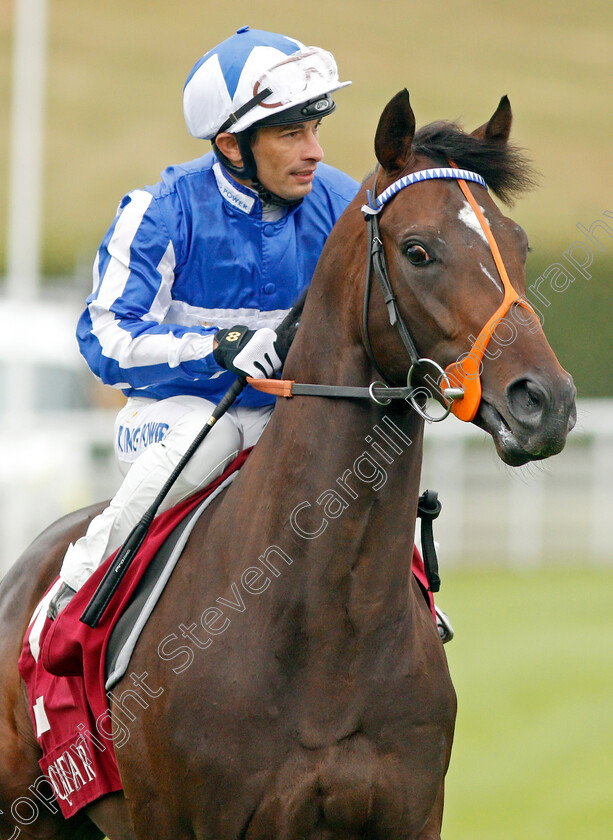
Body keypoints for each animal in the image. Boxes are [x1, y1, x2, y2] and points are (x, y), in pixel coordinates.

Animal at [0, 92, 572, 840]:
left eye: (519, 244)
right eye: (419, 250)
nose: (547, 400)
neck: (329, 626)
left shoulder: (411, 814)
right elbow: (112, 324)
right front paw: (246, 347)